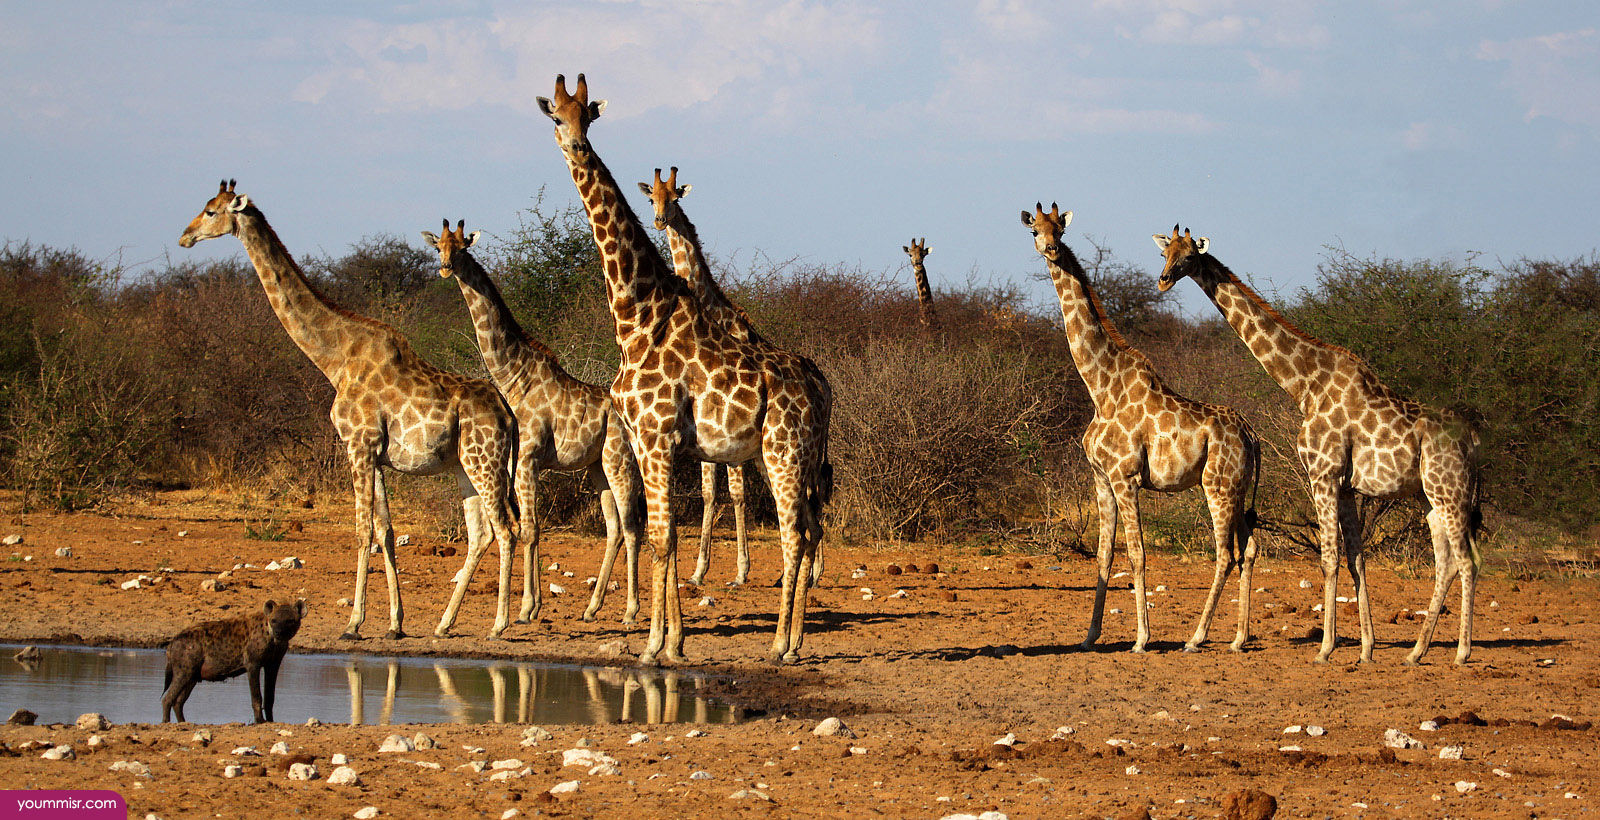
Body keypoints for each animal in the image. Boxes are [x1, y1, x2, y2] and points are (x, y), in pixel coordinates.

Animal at [178, 180, 521, 640]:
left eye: (212, 211)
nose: (185, 236)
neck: (335, 359)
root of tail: (508, 414)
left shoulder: (357, 444)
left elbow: (361, 531)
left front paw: (354, 623)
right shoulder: (374, 453)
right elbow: (386, 531)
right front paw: (395, 622)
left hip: (486, 463)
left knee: (505, 529)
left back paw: (499, 624)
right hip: (465, 467)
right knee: (481, 534)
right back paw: (444, 623)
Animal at [420, 219, 645, 625]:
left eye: (461, 247)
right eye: (438, 246)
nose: (445, 268)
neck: (513, 377)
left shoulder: (527, 460)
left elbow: (528, 529)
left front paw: (525, 609)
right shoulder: (518, 464)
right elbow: (531, 527)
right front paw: (533, 605)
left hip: (618, 460)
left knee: (632, 527)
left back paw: (630, 611)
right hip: (596, 467)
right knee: (615, 528)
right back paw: (591, 608)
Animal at [637, 167, 832, 588]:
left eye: (675, 197)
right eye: (651, 198)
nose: (660, 220)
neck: (714, 311)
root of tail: (826, 384)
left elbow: (737, 494)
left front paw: (741, 571)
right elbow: (710, 493)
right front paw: (697, 571)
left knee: (811, 491)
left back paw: (810, 574)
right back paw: (798, 573)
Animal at [1020, 203, 1261, 653]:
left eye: (1061, 229)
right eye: (1034, 230)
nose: (1052, 249)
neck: (1100, 388)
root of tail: (1253, 437)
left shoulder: (1126, 477)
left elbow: (1137, 554)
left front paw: (1141, 639)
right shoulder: (1101, 478)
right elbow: (1103, 556)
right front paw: (1090, 637)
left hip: (1217, 486)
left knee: (1224, 553)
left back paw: (1196, 638)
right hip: (1237, 490)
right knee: (1250, 548)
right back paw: (1238, 639)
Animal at [1154, 226, 1482, 665]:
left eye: (1189, 256)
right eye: (1165, 253)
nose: (1163, 280)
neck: (1306, 386)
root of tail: (1474, 441)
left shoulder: (1323, 475)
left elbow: (1329, 559)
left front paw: (1326, 648)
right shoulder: (1346, 486)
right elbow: (1357, 559)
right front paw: (1366, 648)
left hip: (1450, 491)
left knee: (1466, 561)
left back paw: (1461, 652)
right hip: (1430, 497)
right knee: (1446, 562)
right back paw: (1416, 651)